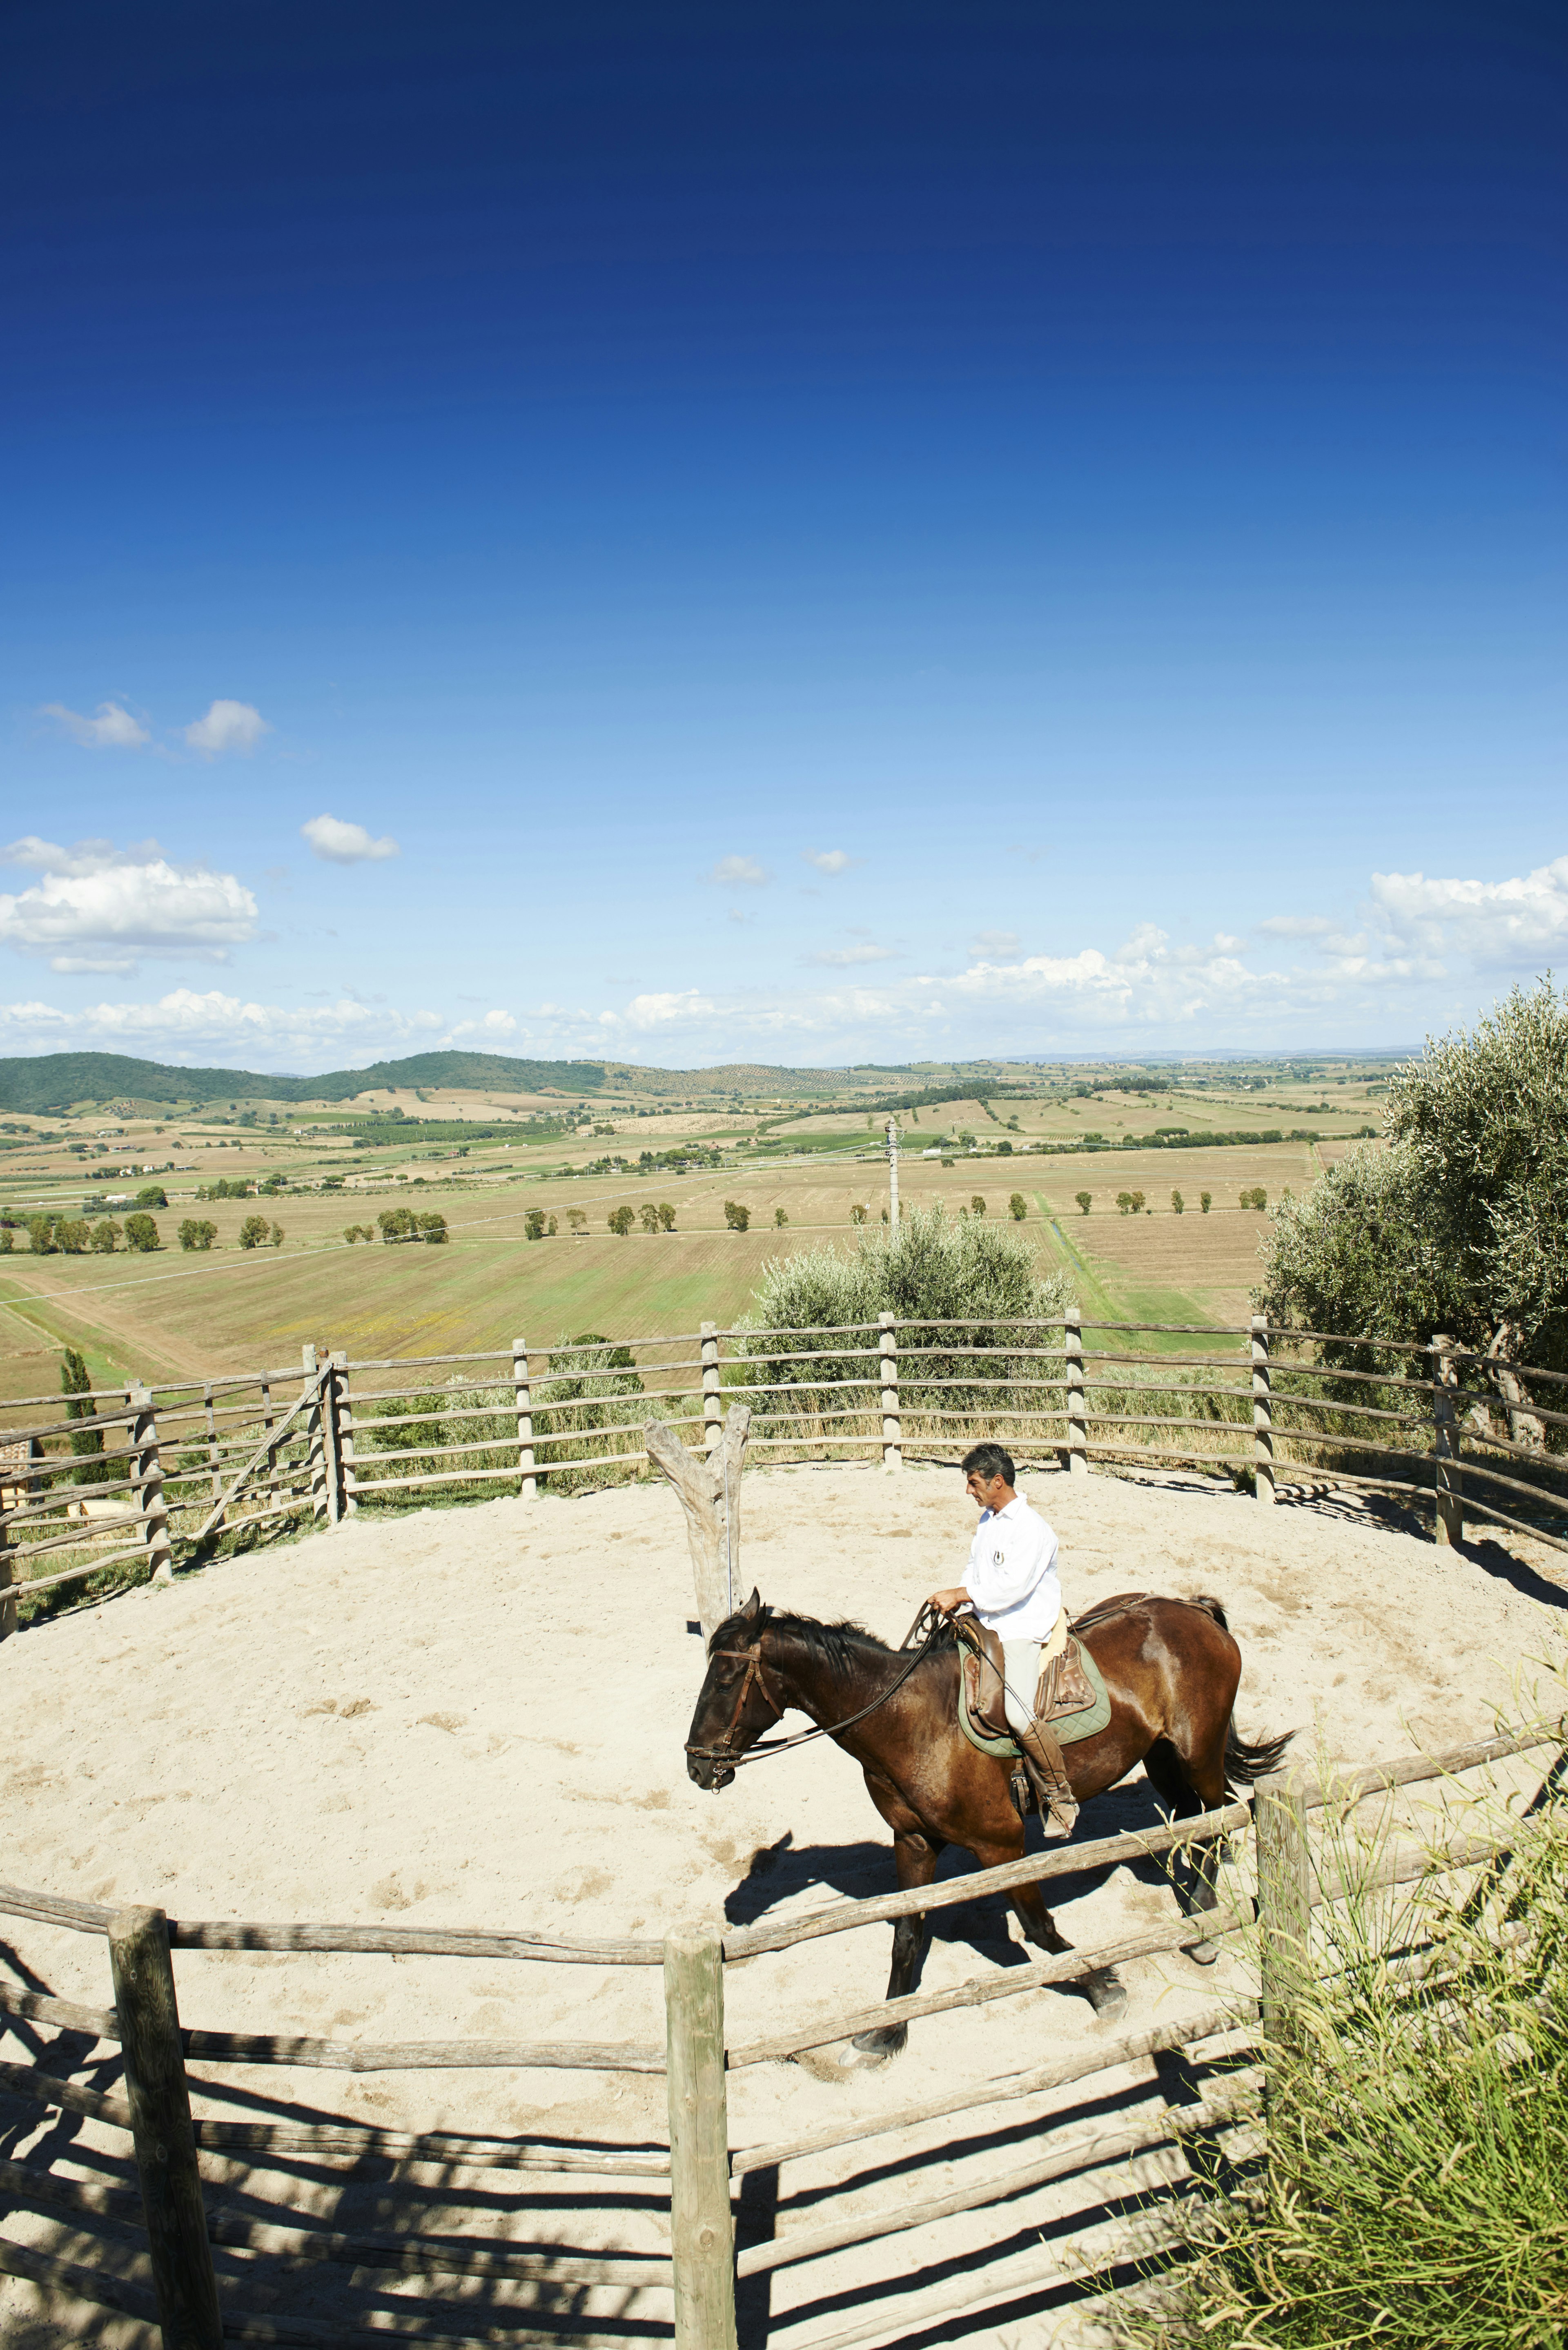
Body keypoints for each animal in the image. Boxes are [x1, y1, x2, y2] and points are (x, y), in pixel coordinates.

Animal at [682, 1588, 1288, 2049]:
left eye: (725, 1682)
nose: (697, 1765)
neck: (911, 1720)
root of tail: (1192, 1608)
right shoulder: (914, 1841)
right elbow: (907, 1935)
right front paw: (886, 2032)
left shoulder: (1002, 1845)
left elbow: (1038, 1928)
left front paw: (1102, 1986)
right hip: (1163, 1758)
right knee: (1197, 1824)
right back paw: (1196, 1908)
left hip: (1197, 1754)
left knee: (1220, 1818)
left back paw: (1203, 1930)